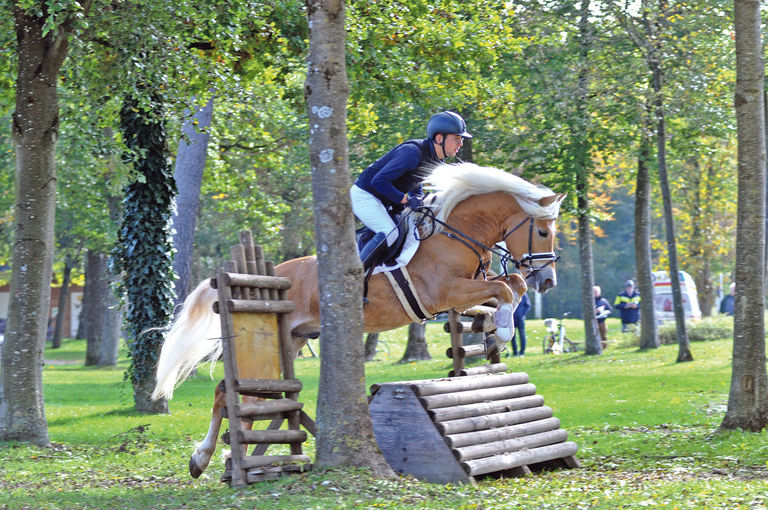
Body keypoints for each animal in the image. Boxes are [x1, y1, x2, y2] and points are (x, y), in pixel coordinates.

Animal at [153, 163, 568, 478]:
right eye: (542, 231)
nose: (549, 282)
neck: (455, 234)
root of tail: (268, 278)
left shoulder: (470, 287)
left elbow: (510, 286)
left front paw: (495, 334)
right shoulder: (446, 292)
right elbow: (506, 288)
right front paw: (503, 330)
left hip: (294, 339)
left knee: (248, 397)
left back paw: (225, 460)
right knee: (231, 393)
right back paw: (207, 458)